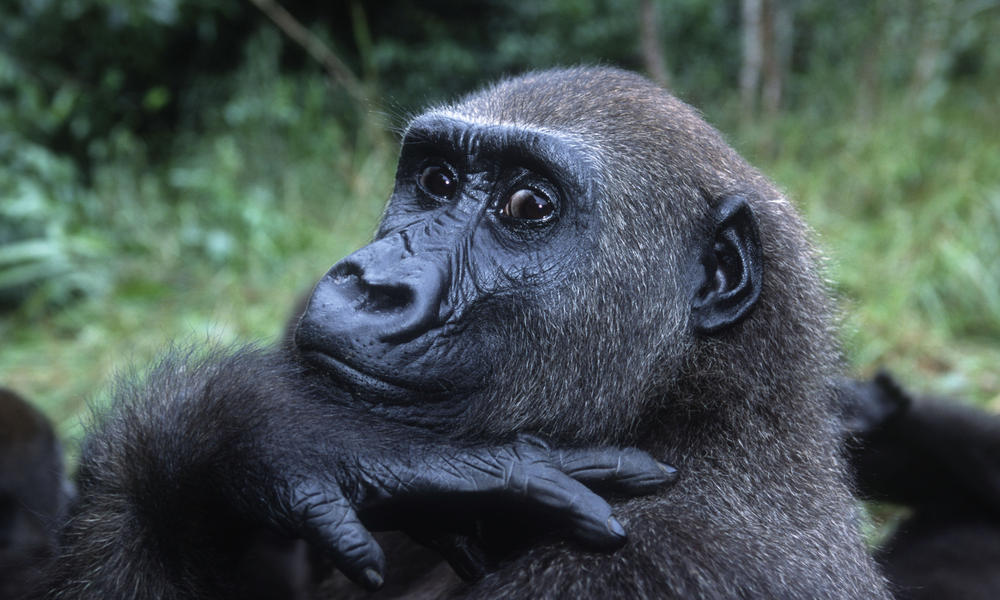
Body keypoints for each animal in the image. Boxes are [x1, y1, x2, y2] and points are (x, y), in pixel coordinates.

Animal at [35, 68, 888, 596]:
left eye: (528, 207)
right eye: (437, 180)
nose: (369, 282)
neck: (695, 411)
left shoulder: (654, 565)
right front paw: (267, 435)